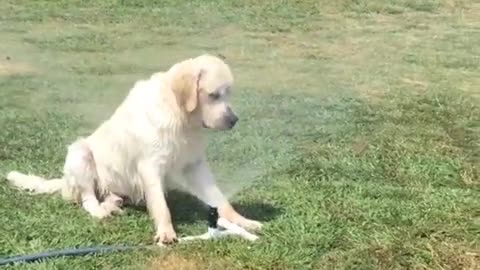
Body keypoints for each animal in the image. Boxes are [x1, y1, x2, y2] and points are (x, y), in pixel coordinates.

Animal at [6, 54, 262, 245]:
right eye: (213, 95)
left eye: (228, 94)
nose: (234, 120)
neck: (180, 114)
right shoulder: (150, 165)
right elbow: (161, 206)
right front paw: (166, 233)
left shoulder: (194, 164)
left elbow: (219, 198)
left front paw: (242, 221)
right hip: (81, 152)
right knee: (88, 199)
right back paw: (101, 211)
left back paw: (113, 205)